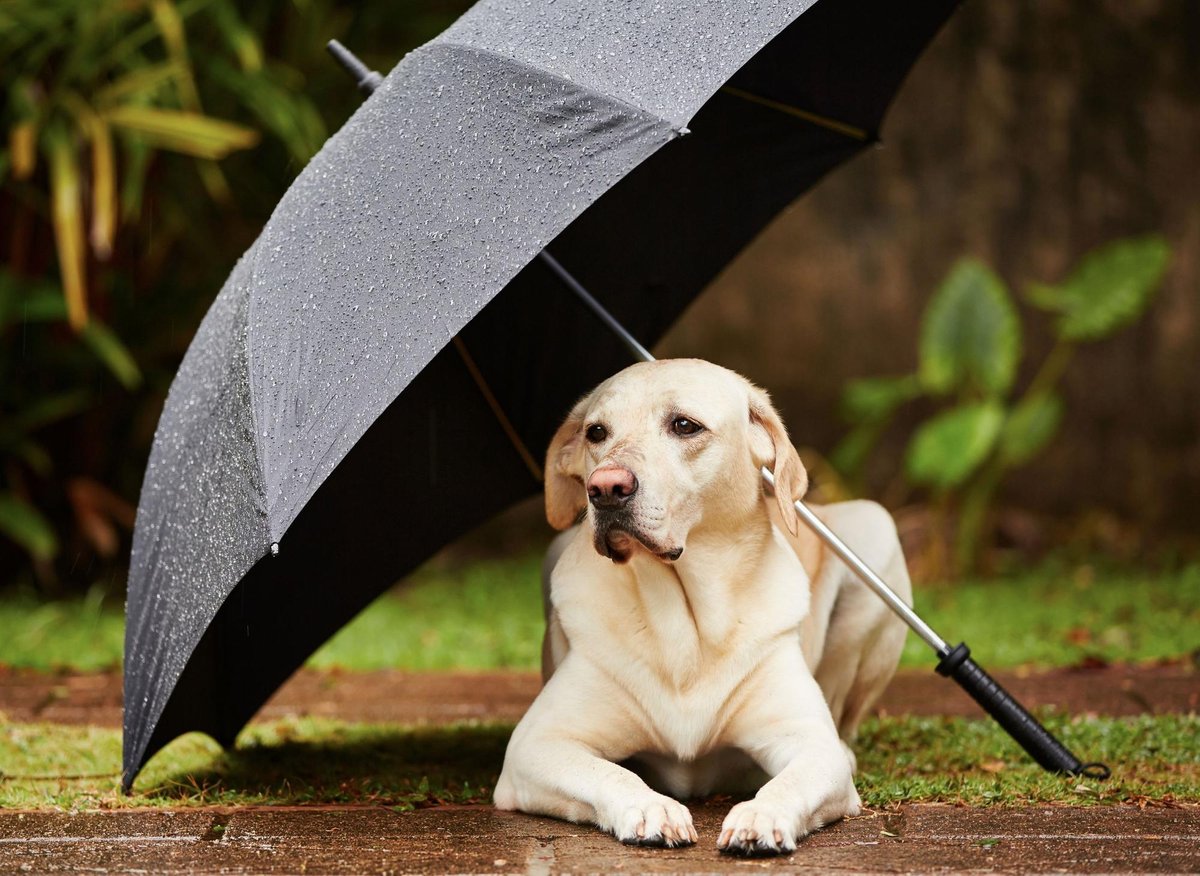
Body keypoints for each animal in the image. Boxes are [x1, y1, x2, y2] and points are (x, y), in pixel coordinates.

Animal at [489, 357, 907, 854]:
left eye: (685, 425)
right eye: (596, 432)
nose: (604, 487)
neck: (686, 622)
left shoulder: (809, 742)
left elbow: (790, 780)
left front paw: (761, 815)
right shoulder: (535, 745)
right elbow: (608, 772)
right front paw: (650, 808)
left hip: (876, 531)